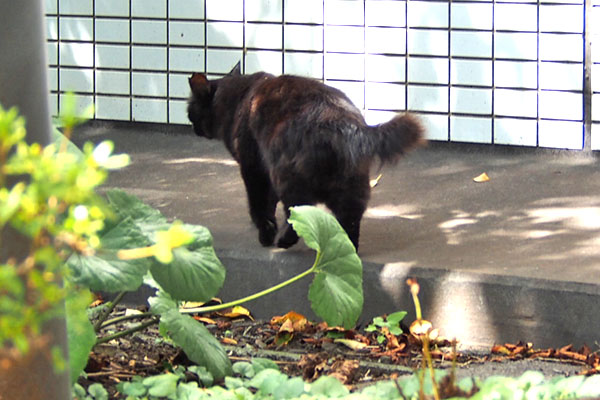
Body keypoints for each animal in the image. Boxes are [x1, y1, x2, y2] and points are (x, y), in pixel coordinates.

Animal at [185, 63, 424, 250]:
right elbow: (269, 202)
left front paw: (265, 232)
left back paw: (284, 241)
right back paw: (347, 249)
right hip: (352, 189)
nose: (193, 127)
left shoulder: (253, 168)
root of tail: (342, 122)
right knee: (350, 220)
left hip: (286, 178)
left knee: (298, 211)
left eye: (190, 112)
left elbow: (259, 205)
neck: (237, 98)